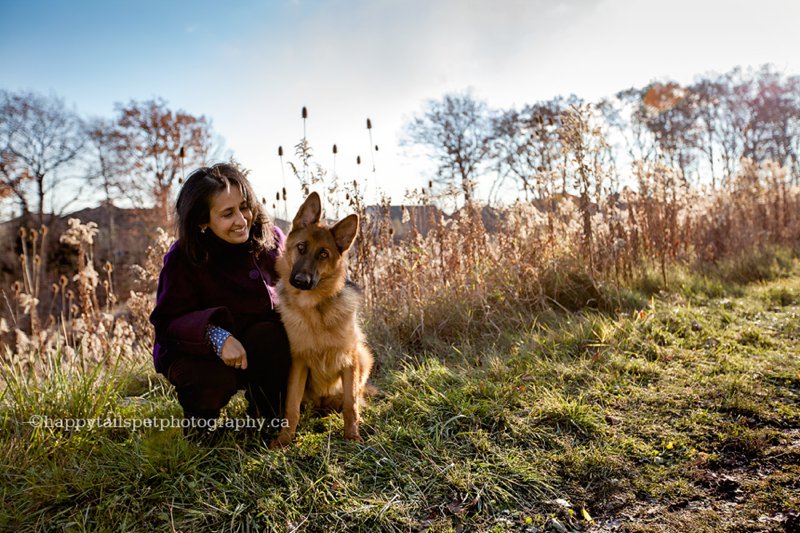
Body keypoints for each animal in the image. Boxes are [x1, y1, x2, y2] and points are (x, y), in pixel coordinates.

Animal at [270, 193, 374, 446]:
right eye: (301, 247)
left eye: (323, 254)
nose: (301, 281)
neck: (315, 312)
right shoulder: (298, 363)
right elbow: (291, 407)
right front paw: (284, 439)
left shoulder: (350, 360)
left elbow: (350, 405)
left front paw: (352, 436)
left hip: (364, 355)